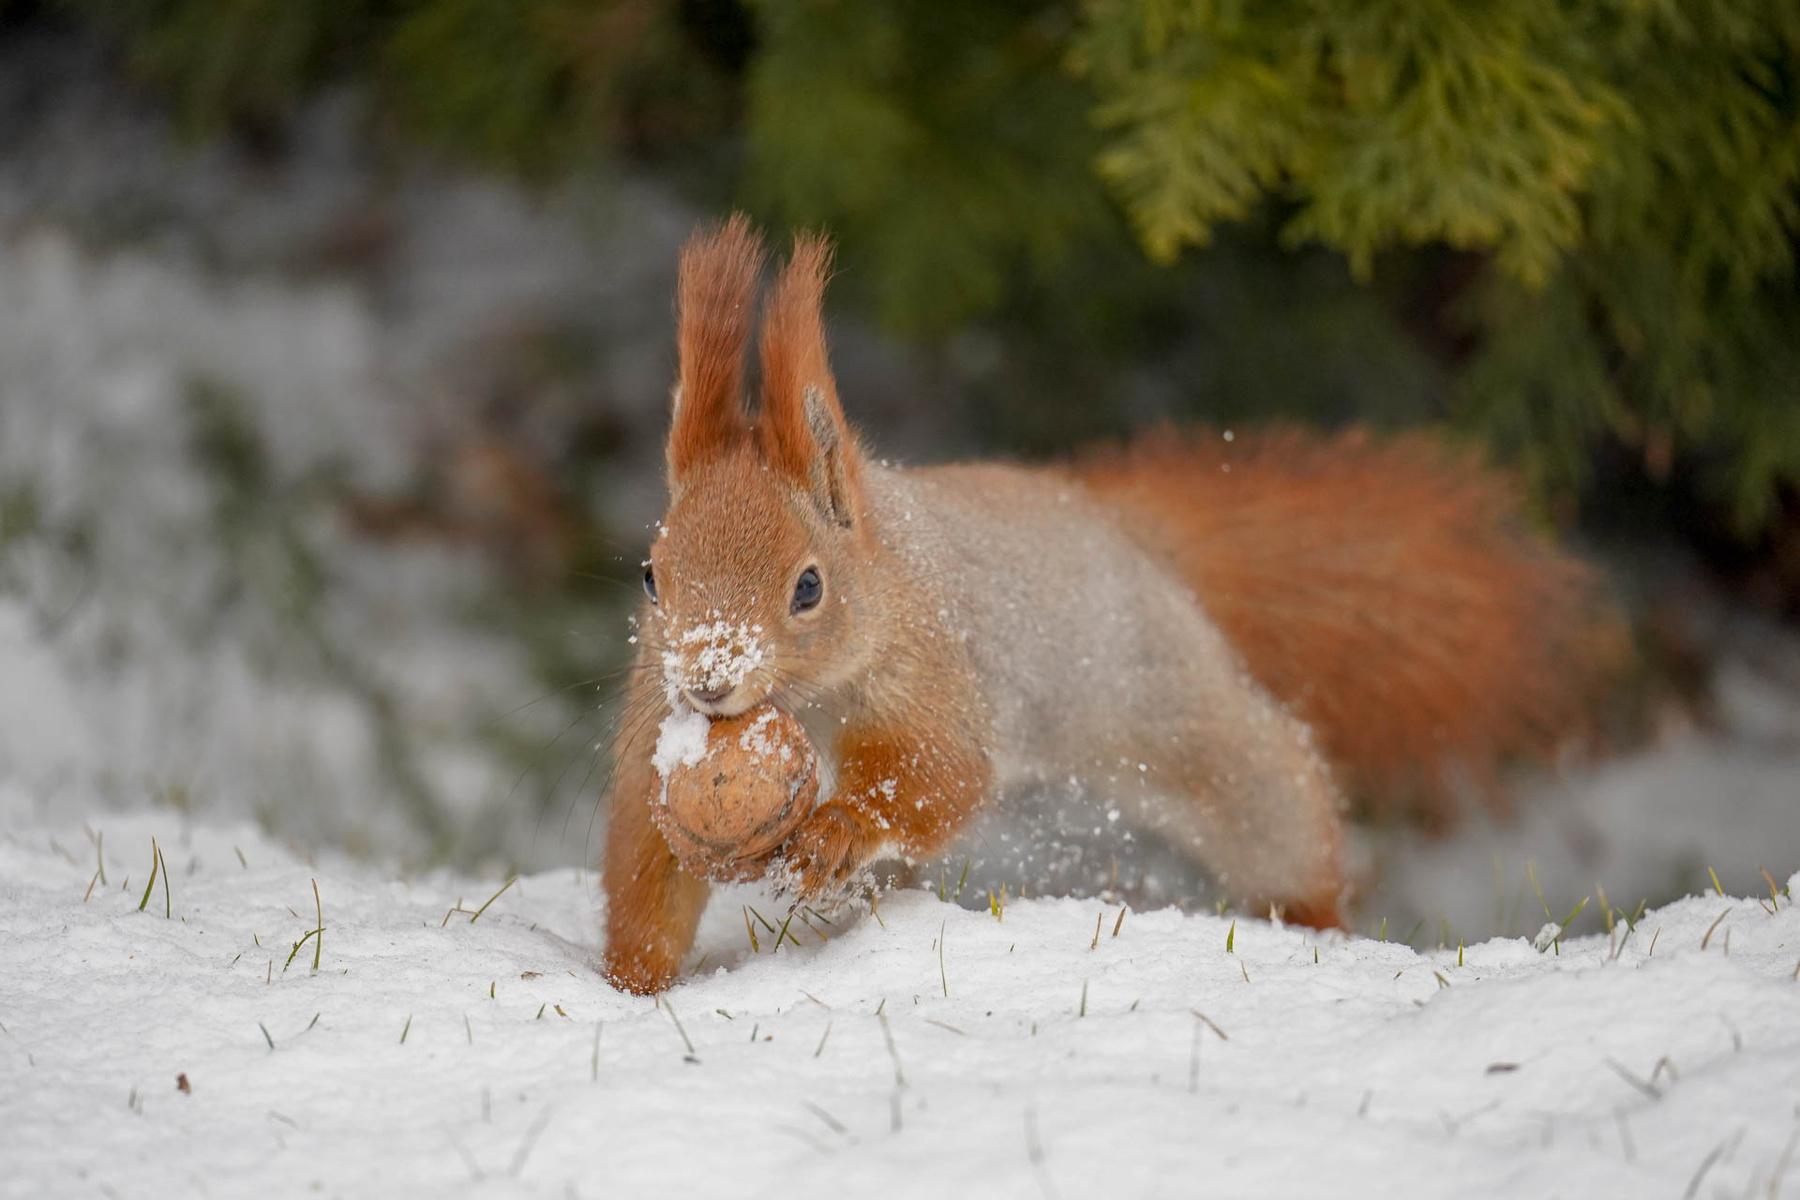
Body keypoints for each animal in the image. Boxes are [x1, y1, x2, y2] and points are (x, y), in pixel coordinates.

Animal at [601, 215, 1608, 995]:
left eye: (809, 586)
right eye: (651, 575)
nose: (709, 678)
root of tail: (1115, 529)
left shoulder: (935, 669)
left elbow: (941, 774)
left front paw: (838, 832)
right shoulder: (655, 716)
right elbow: (646, 857)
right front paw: (631, 987)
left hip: (1174, 706)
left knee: (1277, 787)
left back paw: (1316, 917)